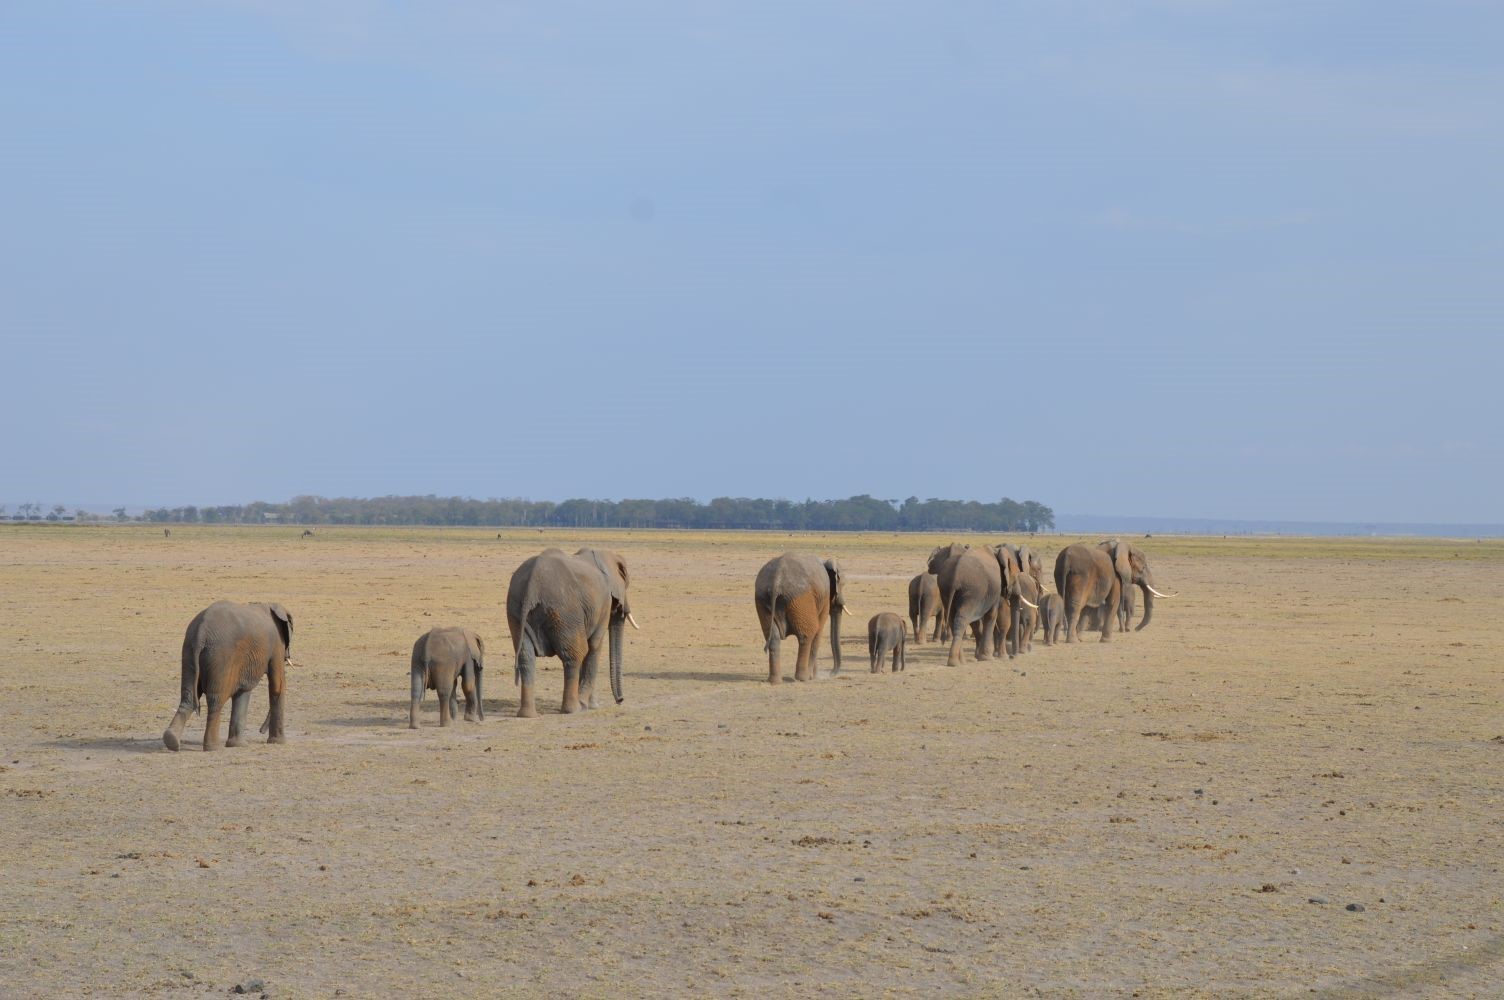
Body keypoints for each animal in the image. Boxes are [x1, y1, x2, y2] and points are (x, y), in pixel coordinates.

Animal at [162, 600, 291, 751]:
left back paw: (171, 741)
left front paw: (237, 745)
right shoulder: (277, 644)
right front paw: (278, 742)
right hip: (220, 656)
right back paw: (213, 747)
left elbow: (243, 690)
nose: (260, 731)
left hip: (188, 650)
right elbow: (277, 685)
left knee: (187, 697)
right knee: (215, 701)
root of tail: (201, 632)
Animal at [506, 548, 635, 717]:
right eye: (626, 583)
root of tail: (532, 585)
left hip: (516, 610)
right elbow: (594, 646)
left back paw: (528, 715)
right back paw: (573, 709)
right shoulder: (604, 604)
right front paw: (589, 705)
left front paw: (590, 704)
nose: (620, 700)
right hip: (565, 612)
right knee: (574, 656)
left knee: (526, 657)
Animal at [754, 552, 851, 683]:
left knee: (773, 637)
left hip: (763, 599)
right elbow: (819, 630)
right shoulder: (824, 597)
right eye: (843, 585)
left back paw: (775, 681)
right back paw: (803, 678)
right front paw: (813, 677)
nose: (831, 674)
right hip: (801, 598)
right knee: (807, 636)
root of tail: (777, 580)